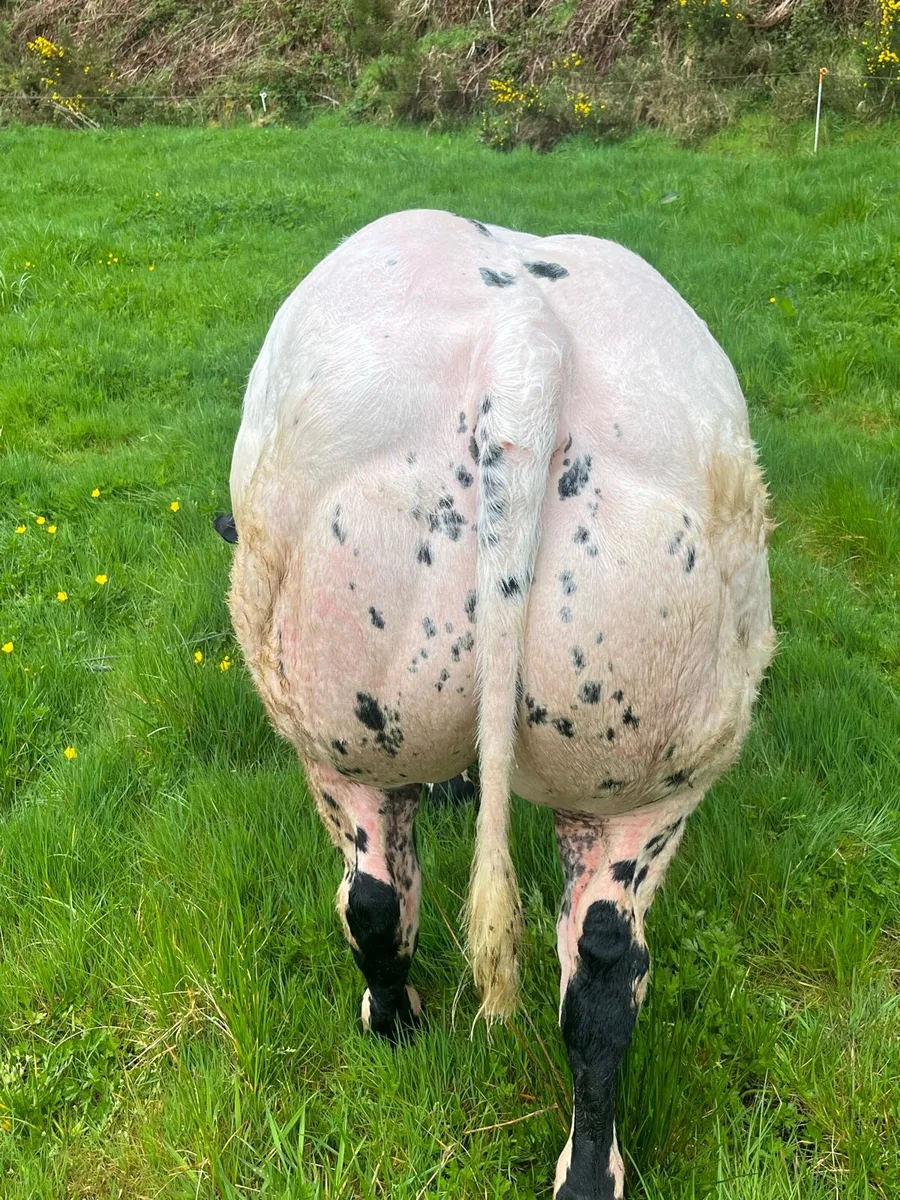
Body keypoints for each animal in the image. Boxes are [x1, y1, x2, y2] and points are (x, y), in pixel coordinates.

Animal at [219, 209, 774, 1199]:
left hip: (333, 735)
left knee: (371, 894)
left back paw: (394, 1023)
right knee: (603, 969)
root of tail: (525, 354)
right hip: (643, 767)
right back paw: (588, 1174)